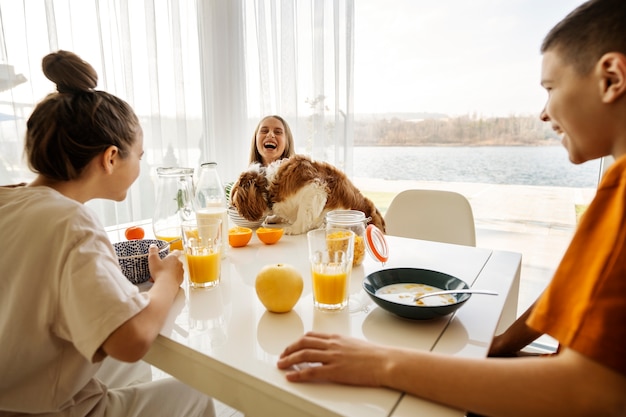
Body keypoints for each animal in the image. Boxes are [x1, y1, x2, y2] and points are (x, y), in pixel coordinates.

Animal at [230, 154, 386, 236]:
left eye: (234, 204)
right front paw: (274, 218)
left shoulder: (316, 187)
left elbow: (303, 215)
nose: (232, 208)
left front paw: (293, 228)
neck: (268, 183)